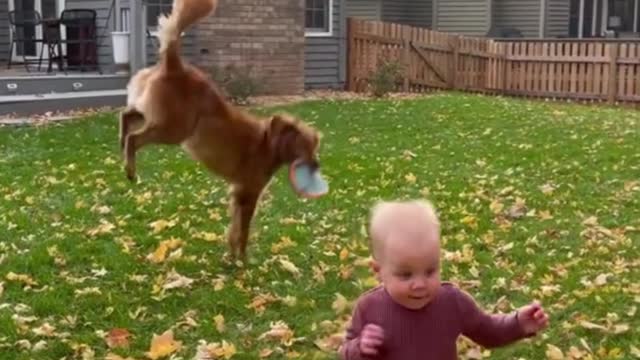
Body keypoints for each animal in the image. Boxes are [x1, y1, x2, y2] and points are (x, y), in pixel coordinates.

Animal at [118, 0, 322, 260]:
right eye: (305, 147)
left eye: (314, 147)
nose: (317, 165)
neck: (269, 144)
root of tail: (176, 65)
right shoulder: (247, 194)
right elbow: (243, 231)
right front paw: (243, 260)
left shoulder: (237, 193)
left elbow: (233, 230)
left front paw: (232, 257)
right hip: (174, 128)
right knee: (135, 138)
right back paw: (130, 169)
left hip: (154, 115)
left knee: (126, 117)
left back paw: (120, 146)